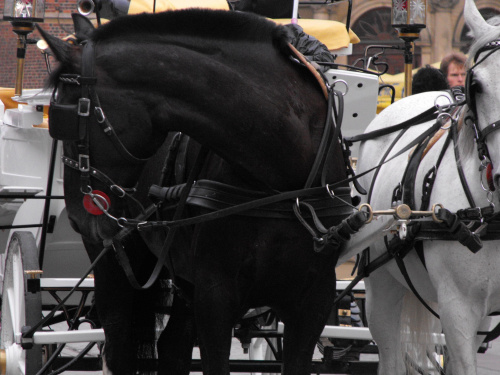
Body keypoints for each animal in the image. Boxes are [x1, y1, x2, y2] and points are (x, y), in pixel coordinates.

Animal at [41, 9, 358, 375]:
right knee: (119, 341)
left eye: (63, 118)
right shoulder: (215, 296)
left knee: (172, 346)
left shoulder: (313, 303)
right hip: (118, 262)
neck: (280, 179)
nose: (78, 218)